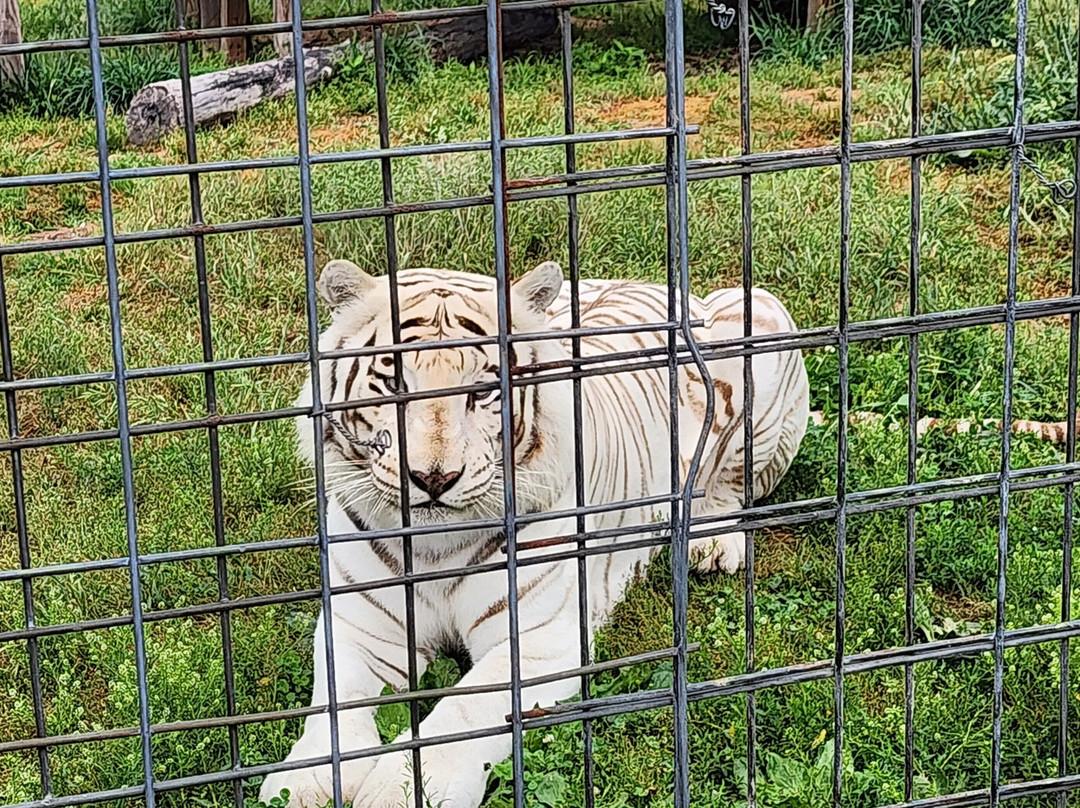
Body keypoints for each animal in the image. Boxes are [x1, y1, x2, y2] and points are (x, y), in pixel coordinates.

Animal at [258, 259, 810, 808]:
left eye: (482, 390)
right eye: (394, 384)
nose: (434, 479)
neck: (434, 549)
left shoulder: (538, 638)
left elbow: (465, 710)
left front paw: (405, 789)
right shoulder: (361, 628)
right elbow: (337, 708)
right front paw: (302, 783)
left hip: (762, 322)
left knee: (733, 485)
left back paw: (712, 543)